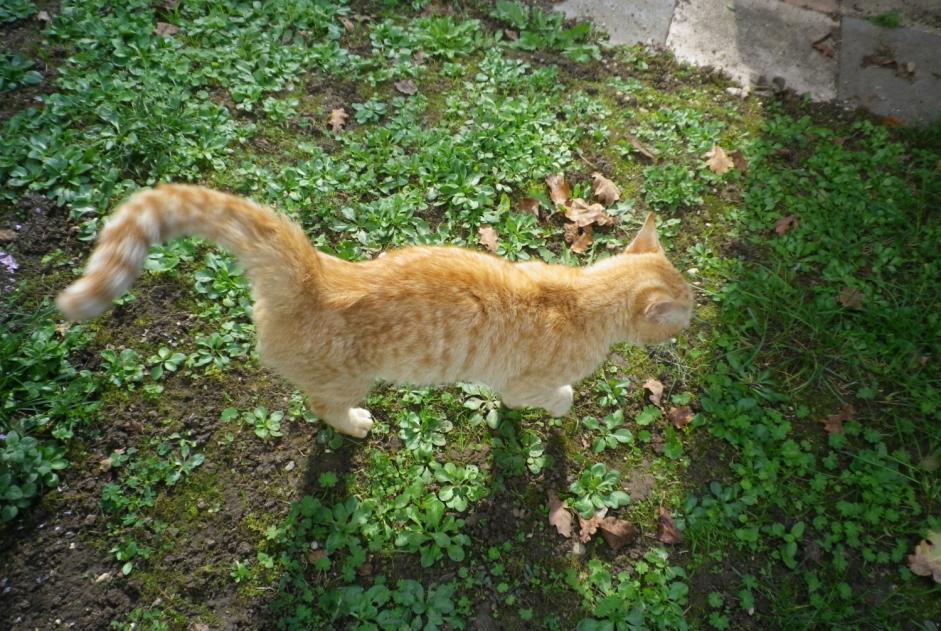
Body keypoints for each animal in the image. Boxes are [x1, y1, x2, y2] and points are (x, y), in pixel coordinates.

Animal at [57, 185, 692, 436]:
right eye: (684, 310)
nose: (697, 314)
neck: (582, 295)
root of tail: (317, 271)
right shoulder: (527, 382)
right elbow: (557, 396)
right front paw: (562, 407)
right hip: (347, 380)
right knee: (321, 405)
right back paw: (354, 424)